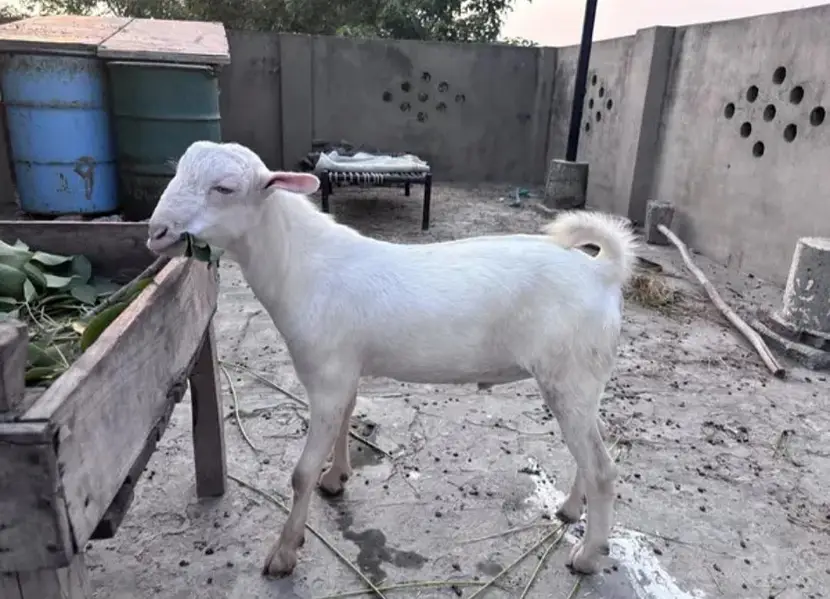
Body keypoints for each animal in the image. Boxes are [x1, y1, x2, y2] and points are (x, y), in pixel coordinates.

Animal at [146, 140, 638, 578]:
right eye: (177, 170)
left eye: (225, 188)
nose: (157, 232)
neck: (298, 265)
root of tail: (601, 272)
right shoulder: (345, 370)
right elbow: (346, 419)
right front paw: (337, 478)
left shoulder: (325, 374)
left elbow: (300, 474)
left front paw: (284, 552)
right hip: (580, 380)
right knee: (590, 451)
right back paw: (570, 510)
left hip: (570, 374)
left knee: (602, 470)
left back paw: (588, 556)